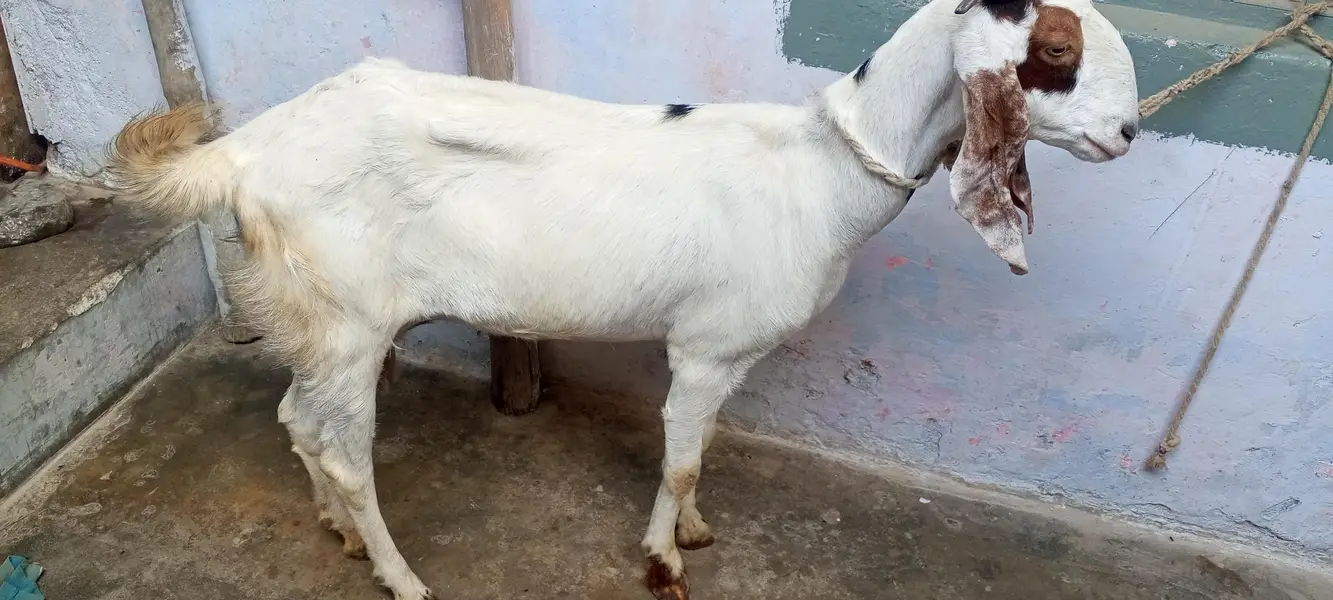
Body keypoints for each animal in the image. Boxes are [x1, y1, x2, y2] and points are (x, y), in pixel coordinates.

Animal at [106, 0, 1139, 598]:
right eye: (1055, 49)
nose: (1128, 132)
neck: (818, 173)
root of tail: (245, 153)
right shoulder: (706, 347)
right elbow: (678, 460)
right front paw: (663, 562)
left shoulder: (727, 353)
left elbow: (699, 448)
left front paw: (692, 531)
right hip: (350, 320)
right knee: (347, 453)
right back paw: (400, 575)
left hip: (313, 319)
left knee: (298, 418)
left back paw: (336, 531)